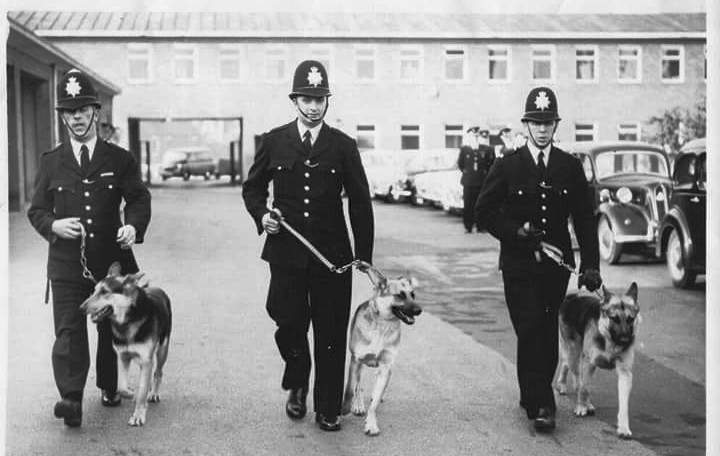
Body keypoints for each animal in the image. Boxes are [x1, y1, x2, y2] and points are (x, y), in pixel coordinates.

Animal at [80, 262, 173, 426]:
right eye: (94, 290)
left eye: (104, 292)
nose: (81, 308)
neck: (127, 321)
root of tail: (157, 289)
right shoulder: (122, 357)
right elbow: (121, 387)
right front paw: (131, 394)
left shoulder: (146, 361)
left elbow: (142, 390)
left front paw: (138, 415)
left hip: (162, 349)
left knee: (158, 372)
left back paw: (153, 393)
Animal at [342, 268, 422, 436]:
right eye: (400, 295)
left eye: (413, 295)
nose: (419, 310)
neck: (383, 325)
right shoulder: (356, 360)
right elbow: (350, 388)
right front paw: (346, 408)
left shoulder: (386, 366)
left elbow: (375, 402)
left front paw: (371, 423)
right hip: (358, 364)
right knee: (358, 385)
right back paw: (357, 404)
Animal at [556, 282, 640, 438]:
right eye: (614, 318)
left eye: (630, 319)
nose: (625, 340)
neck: (609, 340)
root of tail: (572, 297)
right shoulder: (589, 363)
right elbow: (584, 388)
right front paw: (581, 407)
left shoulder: (625, 374)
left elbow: (624, 404)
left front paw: (624, 427)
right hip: (575, 353)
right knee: (573, 371)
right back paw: (564, 385)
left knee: (569, 367)